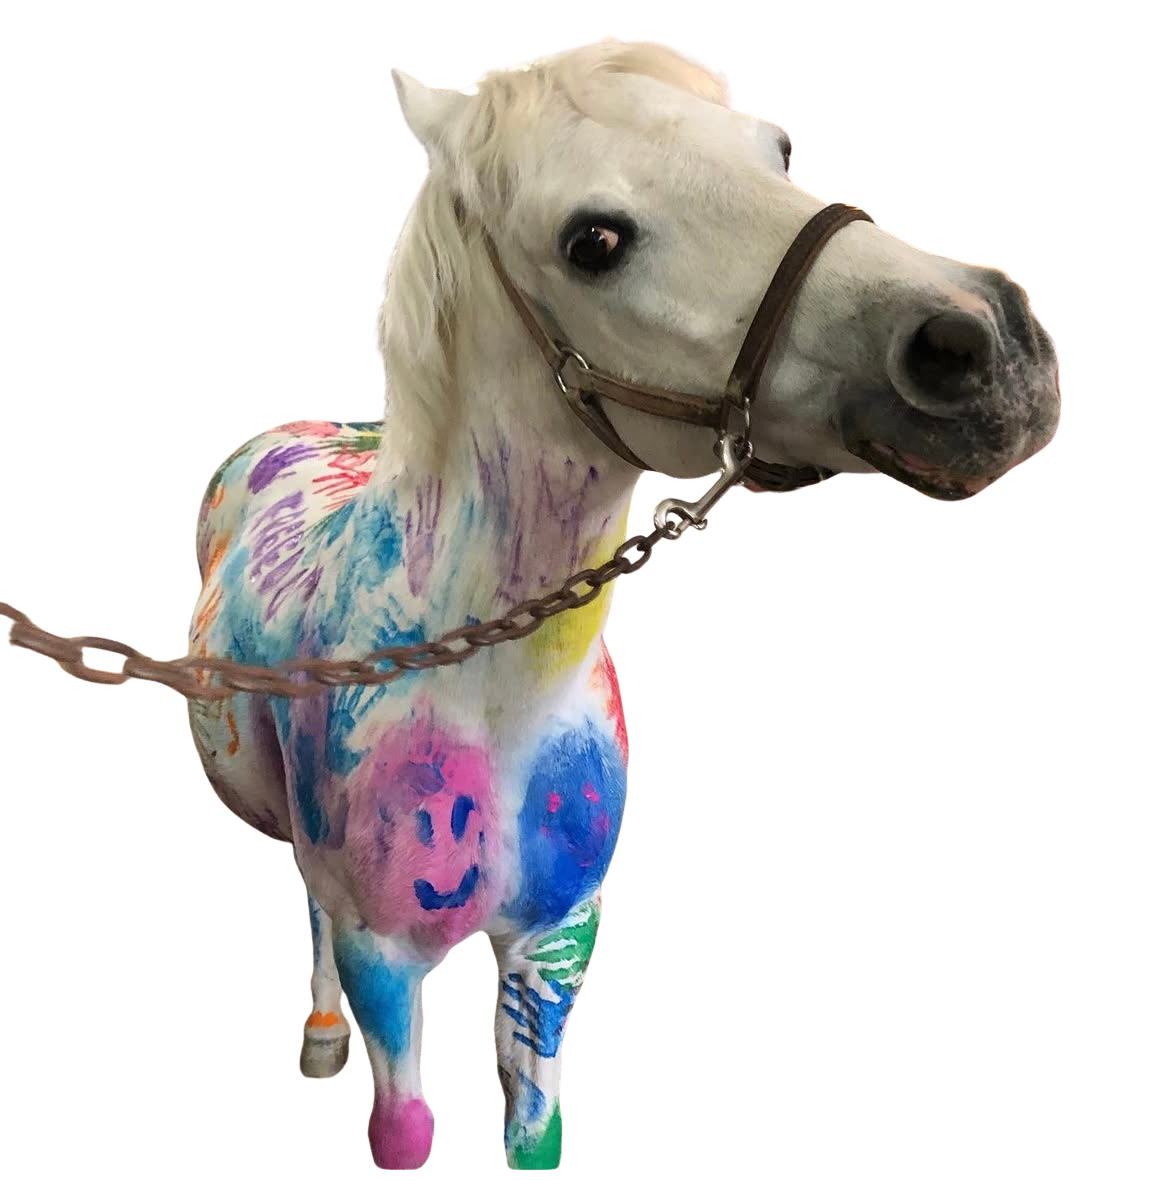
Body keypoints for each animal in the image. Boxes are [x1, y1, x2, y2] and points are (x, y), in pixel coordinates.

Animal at [187, 36, 1060, 1172]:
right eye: (592, 241)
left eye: (777, 150)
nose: (989, 350)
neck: (482, 684)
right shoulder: (389, 961)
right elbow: (401, 1123)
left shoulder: (550, 954)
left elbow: (531, 1135)